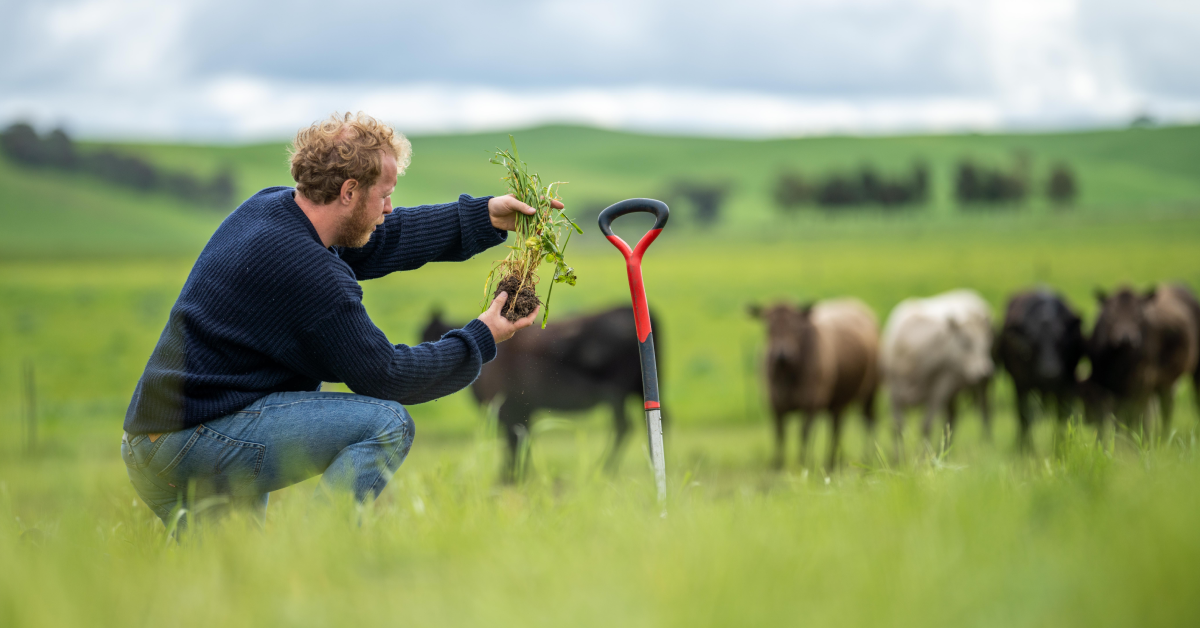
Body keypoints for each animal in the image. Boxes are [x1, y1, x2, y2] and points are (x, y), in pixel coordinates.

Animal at [422, 306, 662, 482]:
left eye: (428, 335)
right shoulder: (522, 411)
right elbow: (522, 441)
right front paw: (517, 475)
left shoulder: (509, 411)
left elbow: (514, 442)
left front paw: (509, 477)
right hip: (638, 390)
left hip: (617, 394)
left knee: (623, 426)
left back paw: (603, 469)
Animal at [744, 300, 878, 470]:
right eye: (768, 326)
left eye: (794, 326)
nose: (782, 353)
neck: (788, 374)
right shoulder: (775, 405)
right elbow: (780, 434)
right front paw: (777, 465)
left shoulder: (811, 404)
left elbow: (804, 433)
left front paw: (803, 462)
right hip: (838, 401)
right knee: (836, 427)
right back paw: (832, 462)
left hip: (870, 392)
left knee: (868, 421)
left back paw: (867, 458)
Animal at [883, 291, 993, 461]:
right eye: (965, 342)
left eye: (986, 345)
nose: (986, 370)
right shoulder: (894, 392)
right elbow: (898, 426)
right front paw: (897, 458)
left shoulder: (938, 390)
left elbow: (926, 425)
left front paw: (923, 457)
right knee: (952, 418)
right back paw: (947, 451)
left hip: (979, 388)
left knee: (984, 409)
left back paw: (985, 441)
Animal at [993, 290, 1089, 451]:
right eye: (1033, 341)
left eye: (1061, 339)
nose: (1049, 374)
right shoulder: (1021, 384)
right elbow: (1025, 416)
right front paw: (1025, 449)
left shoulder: (1067, 386)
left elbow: (1062, 417)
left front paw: (1060, 446)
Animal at [1089, 283, 1200, 437]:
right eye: (1111, 314)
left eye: (1139, 314)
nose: (1126, 337)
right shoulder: (1101, 387)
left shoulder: (1142, 383)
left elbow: (1135, 416)